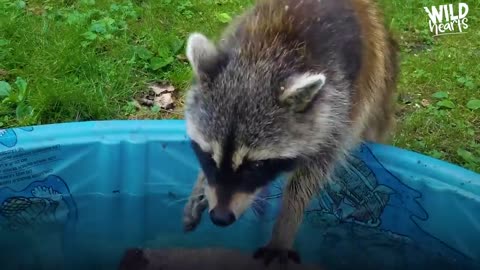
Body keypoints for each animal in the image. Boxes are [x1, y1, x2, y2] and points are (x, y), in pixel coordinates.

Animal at [180, 0, 398, 266]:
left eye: (256, 165)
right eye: (209, 156)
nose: (220, 218)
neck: (263, 57)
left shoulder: (339, 108)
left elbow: (312, 173)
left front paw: (287, 222)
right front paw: (201, 184)